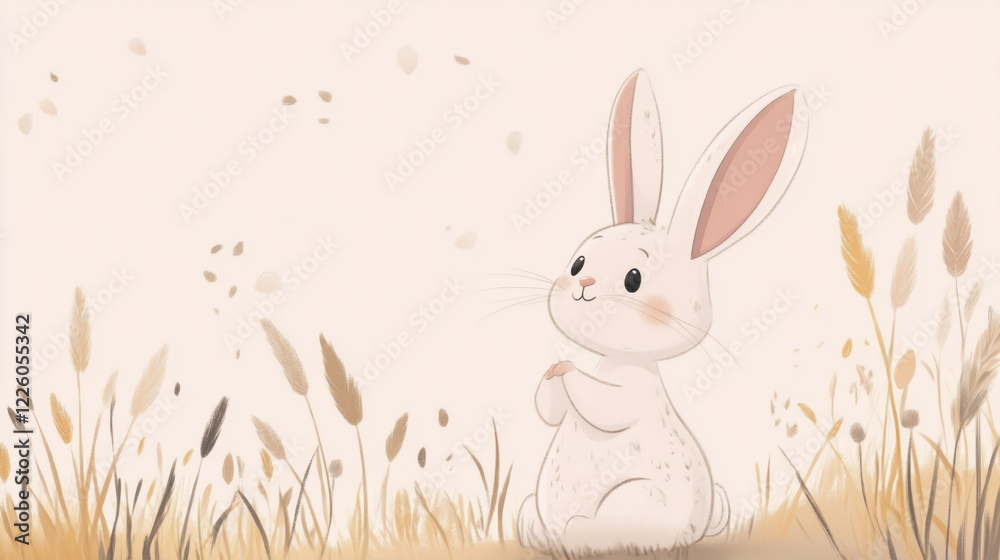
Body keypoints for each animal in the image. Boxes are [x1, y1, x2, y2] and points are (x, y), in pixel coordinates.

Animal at [516, 69, 809, 557]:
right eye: (578, 263)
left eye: (634, 279)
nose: (583, 284)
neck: (618, 359)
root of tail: (701, 525)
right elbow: (550, 410)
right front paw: (553, 371)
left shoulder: (634, 391)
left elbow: (605, 405)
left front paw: (569, 370)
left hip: (638, 498)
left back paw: (580, 534)